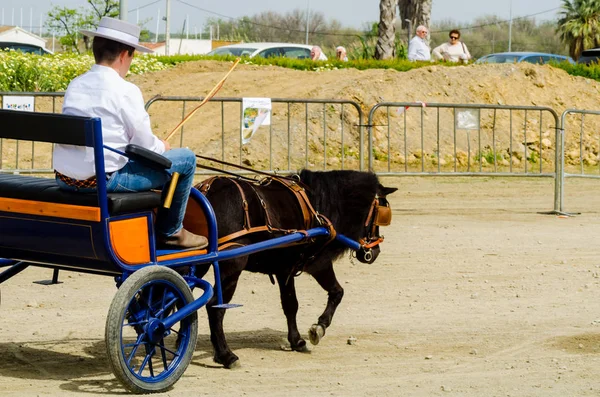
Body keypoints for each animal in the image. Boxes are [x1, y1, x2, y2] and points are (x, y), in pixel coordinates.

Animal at [192, 169, 396, 366]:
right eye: (381, 211)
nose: (375, 252)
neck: (318, 206)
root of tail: (207, 190)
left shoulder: (284, 270)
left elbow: (291, 304)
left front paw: (296, 340)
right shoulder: (319, 263)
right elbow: (337, 292)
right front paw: (319, 327)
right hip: (232, 267)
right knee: (215, 308)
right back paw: (225, 355)